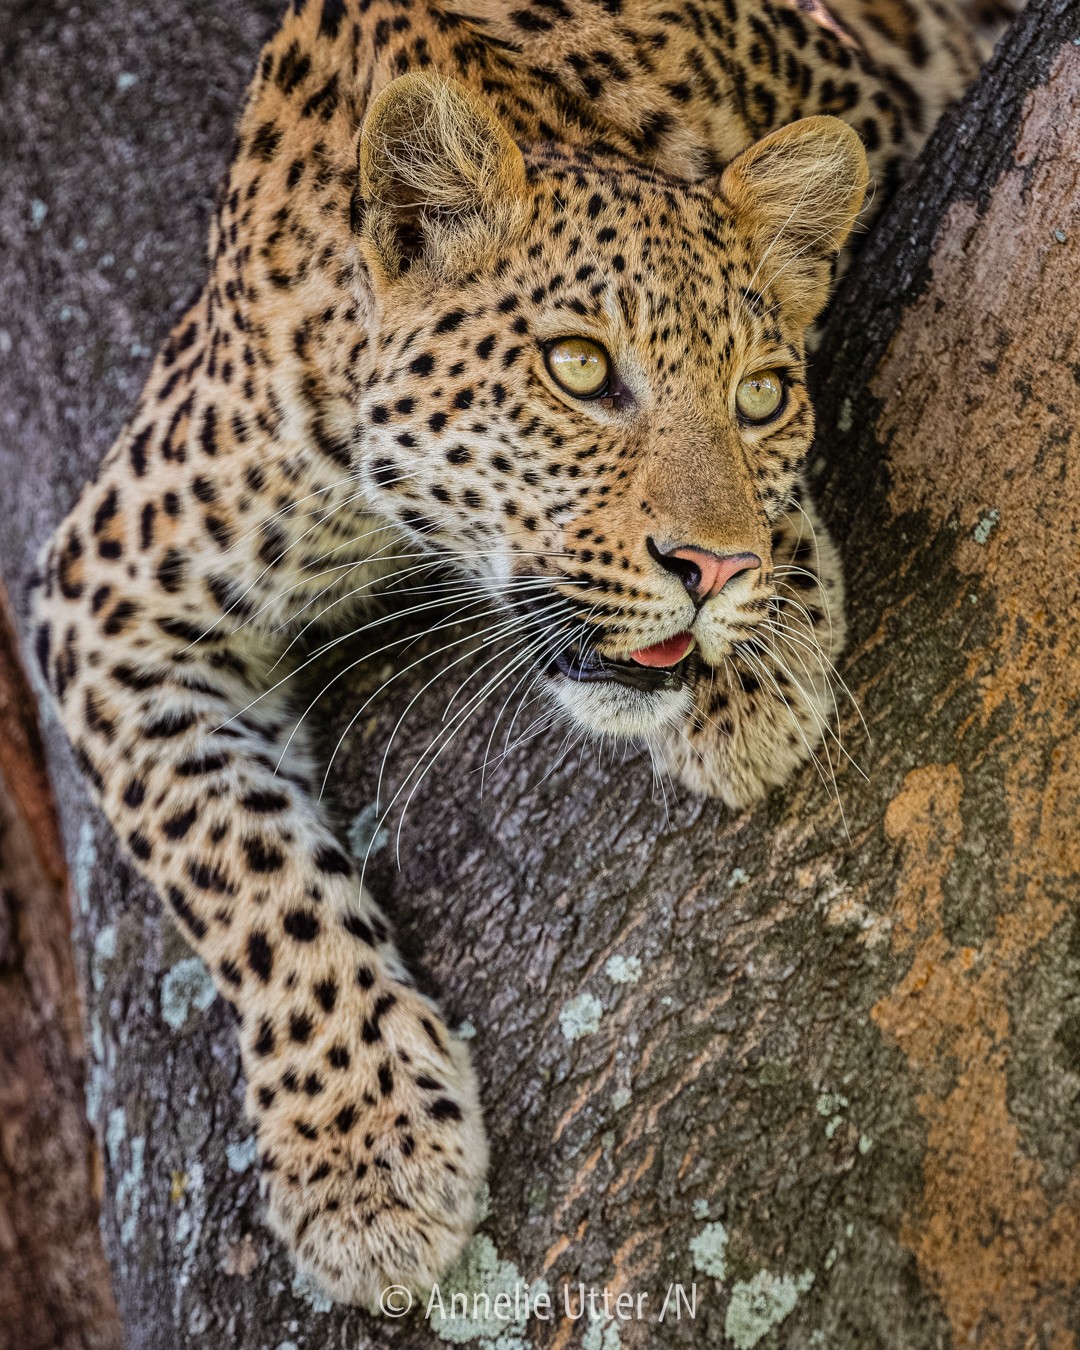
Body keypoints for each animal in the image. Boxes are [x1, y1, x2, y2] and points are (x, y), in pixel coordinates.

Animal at [29, 0, 1014, 1310]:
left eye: (760, 397)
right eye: (581, 369)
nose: (715, 573)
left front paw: (757, 667)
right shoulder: (107, 591)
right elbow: (235, 866)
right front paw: (365, 1156)